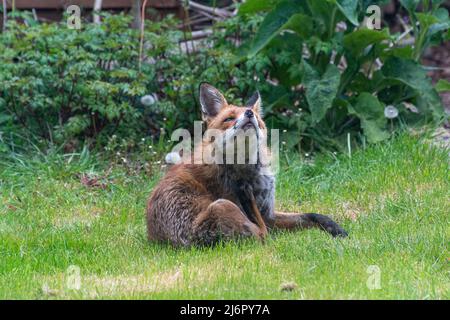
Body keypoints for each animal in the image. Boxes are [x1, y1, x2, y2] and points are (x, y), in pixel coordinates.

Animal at [146, 83, 346, 248]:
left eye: (255, 115)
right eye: (229, 119)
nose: (249, 113)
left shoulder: (269, 214)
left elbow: (311, 215)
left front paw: (335, 228)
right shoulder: (262, 217)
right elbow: (268, 226)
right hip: (222, 206)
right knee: (263, 236)